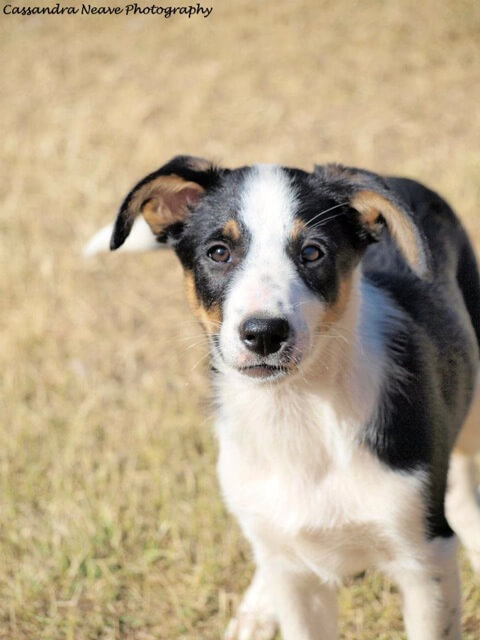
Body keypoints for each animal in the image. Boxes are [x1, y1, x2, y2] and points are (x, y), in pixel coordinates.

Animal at [88, 156, 480, 640]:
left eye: (312, 252)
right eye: (219, 252)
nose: (263, 333)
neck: (296, 411)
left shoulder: (425, 561)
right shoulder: (298, 580)